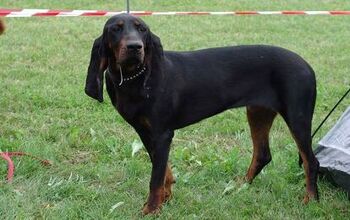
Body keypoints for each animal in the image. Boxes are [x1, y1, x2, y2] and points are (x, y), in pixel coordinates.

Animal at [85, 14, 320, 215]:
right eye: (115, 29)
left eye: (142, 29)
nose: (135, 46)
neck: (133, 77)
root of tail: (307, 66)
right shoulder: (145, 131)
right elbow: (161, 168)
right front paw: (166, 196)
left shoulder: (162, 134)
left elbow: (155, 177)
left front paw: (151, 210)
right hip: (258, 112)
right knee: (263, 154)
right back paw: (240, 185)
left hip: (297, 116)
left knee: (311, 162)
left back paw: (310, 200)